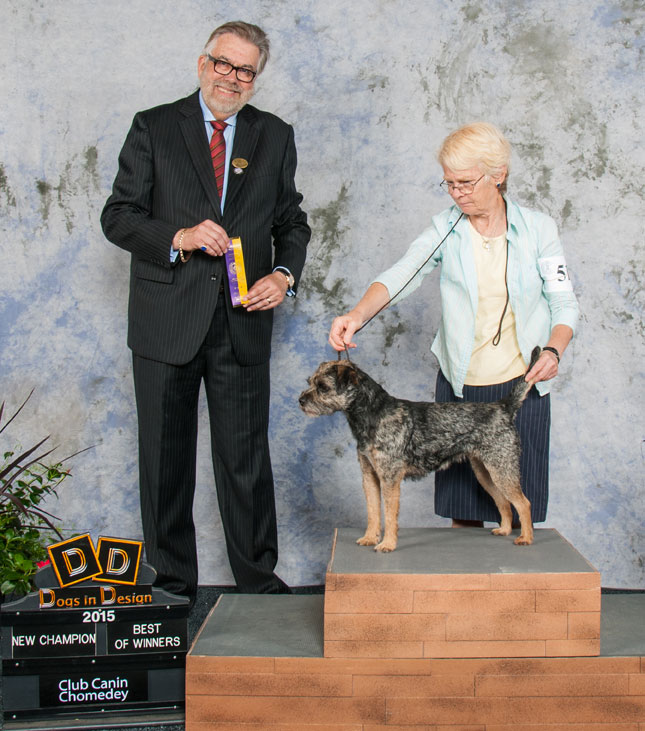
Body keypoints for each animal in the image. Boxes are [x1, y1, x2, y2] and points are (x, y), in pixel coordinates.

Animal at [298, 348, 541, 552]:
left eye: (323, 387)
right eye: (310, 381)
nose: (300, 400)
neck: (373, 413)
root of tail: (502, 407)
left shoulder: (389, 478)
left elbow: (389, 515)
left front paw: (387, 544)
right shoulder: (369, 476)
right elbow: (373, 512)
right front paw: (369, 538)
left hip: (502, 468)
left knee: (524, 503)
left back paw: (526, 538)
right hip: (486, 472)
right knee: (504, 501)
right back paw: (505, 530)